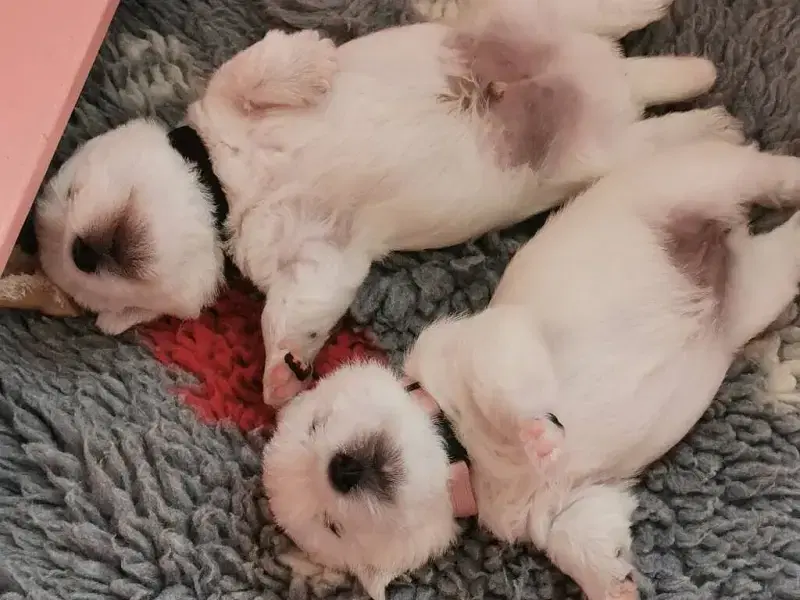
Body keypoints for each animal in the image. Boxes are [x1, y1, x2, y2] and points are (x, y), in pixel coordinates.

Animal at [35, 0, 740, 405]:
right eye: (89, 286)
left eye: (70, 190)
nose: (86, 250)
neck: (226, 189)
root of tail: (613, 85)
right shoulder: (311, 256)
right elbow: (294, 310)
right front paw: (283, 373)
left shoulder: (228, 102)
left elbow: (248, 70)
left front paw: (312, 65)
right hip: (607, 152)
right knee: (658, 120)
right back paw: (714, 112)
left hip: (540, 27)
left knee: (612, 26)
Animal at [262, 139, 800, 600]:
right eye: (332, 524)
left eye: (318, 423)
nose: (343, 468)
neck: (460, 449)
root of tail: (725, 243)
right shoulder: (569, 503)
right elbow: (577, 536)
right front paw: (614, 583)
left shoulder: (488, 340)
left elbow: (502, 389)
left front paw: (540, 434)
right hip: (758, 289)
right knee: (784, 247)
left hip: (689, 181)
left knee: (757, 169)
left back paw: (788, 176)